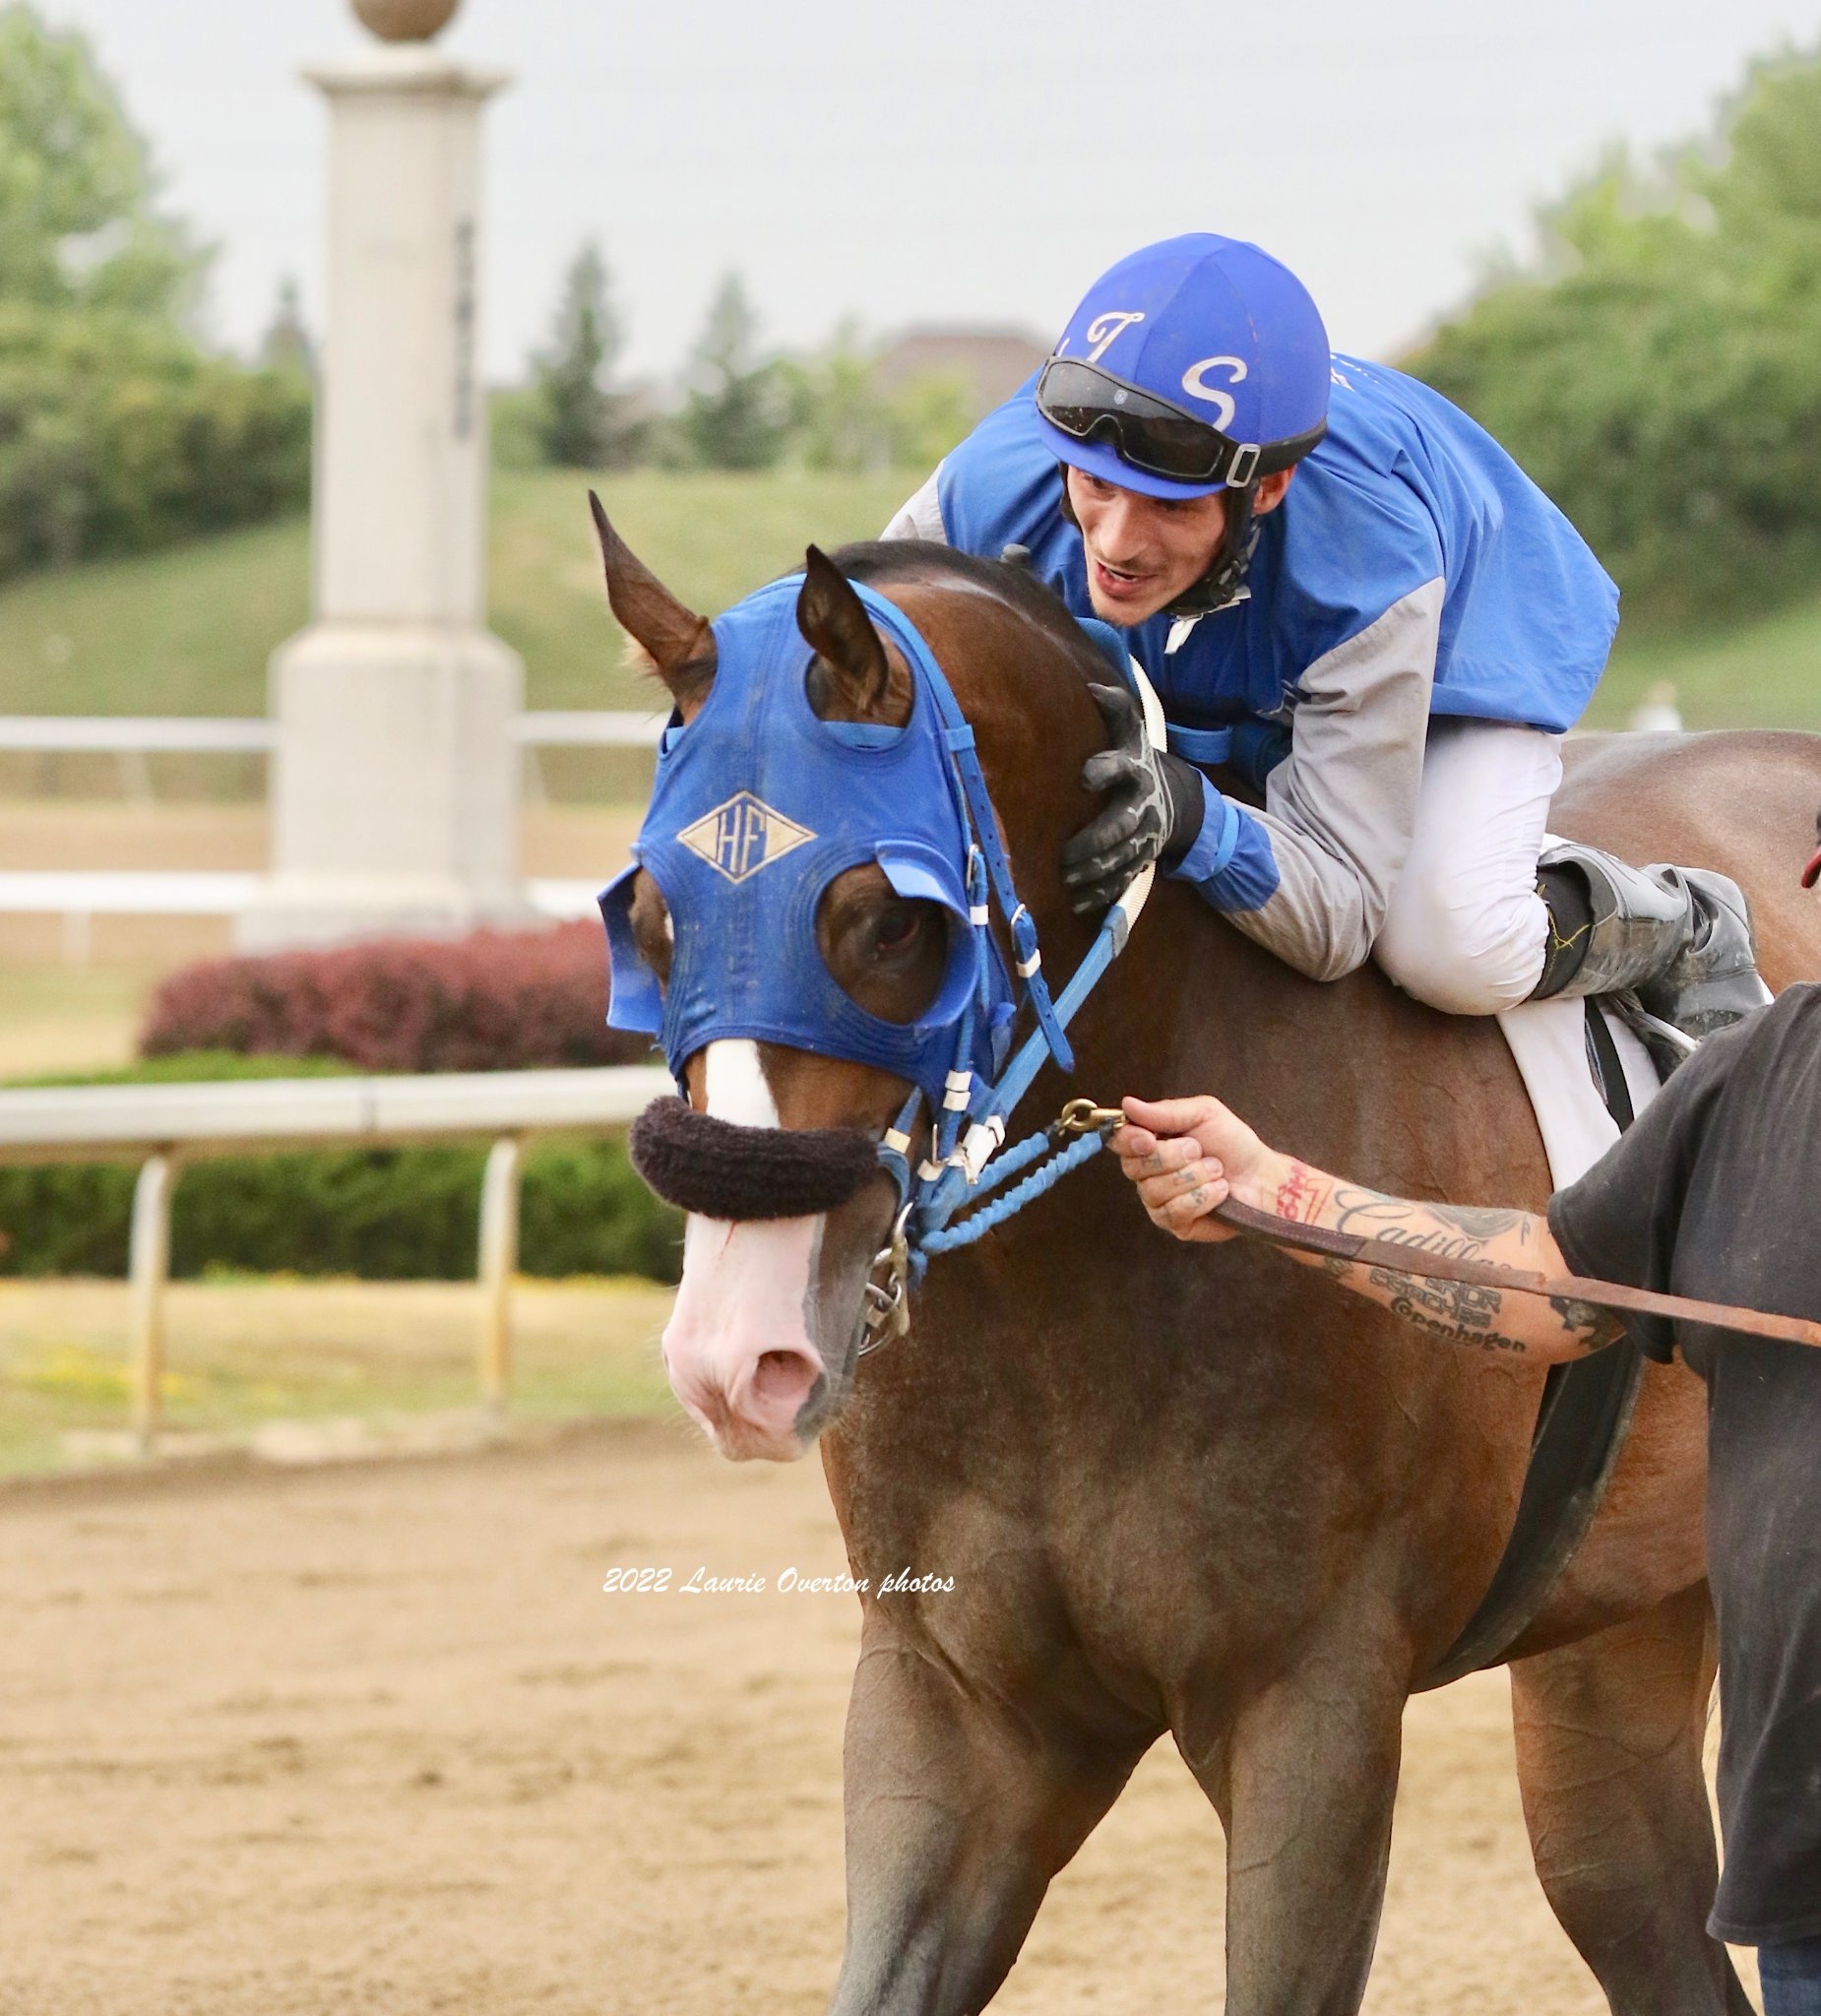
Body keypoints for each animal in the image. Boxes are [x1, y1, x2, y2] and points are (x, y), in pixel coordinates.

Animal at [593, 508, 1821, 2016]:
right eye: (655, 919)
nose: (734, 1352)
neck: (1065, 1311)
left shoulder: (1311, 1701)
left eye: (885, 920)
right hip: (1618, 1630)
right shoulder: (956, 1699)